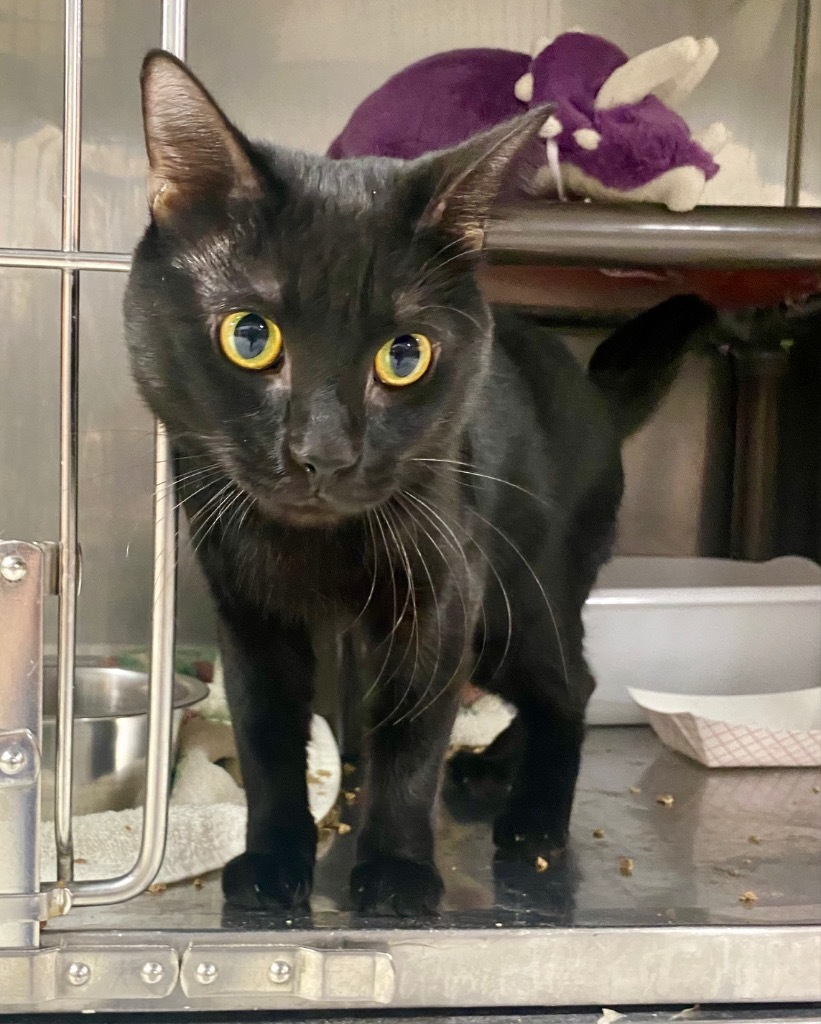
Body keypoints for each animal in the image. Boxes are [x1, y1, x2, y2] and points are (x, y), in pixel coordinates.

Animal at [124, 48, 712, 917]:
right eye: (249, 337)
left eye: (404, 356)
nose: (322, 453)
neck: (315, 548)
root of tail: (593, 397)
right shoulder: (249, 609)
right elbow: (267, 738)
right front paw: (272, 858)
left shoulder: (441, 595)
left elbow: (411, 738)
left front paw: (397, 869)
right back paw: (489, 768)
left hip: (518, 597)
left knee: (569, 687)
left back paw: (532, 817)